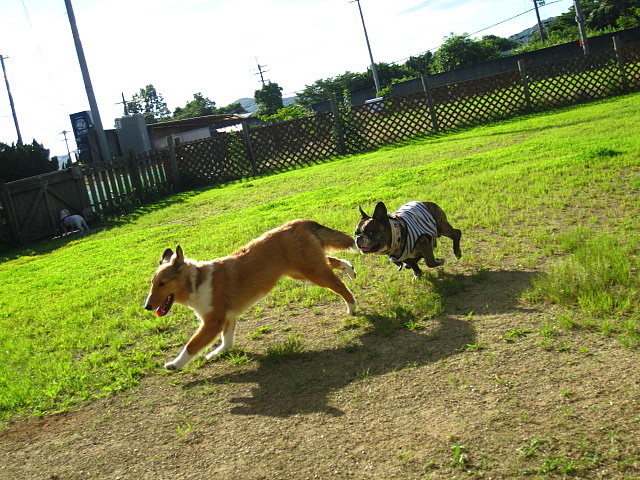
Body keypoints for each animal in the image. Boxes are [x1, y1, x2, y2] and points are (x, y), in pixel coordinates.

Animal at [144, 219, 357, 370]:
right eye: (152, 284)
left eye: (162, 284)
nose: (147, 306)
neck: (197, 281)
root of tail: (299, 222)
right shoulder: (227, 318)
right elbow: (227, 342)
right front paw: (215, 354)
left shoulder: (213, 322)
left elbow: (191, 345)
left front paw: (174, 364)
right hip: (304, 269)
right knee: (334, 260)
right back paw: (350, 270)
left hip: (312, 272)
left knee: (339, 285)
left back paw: (352, 307)